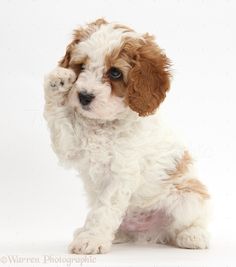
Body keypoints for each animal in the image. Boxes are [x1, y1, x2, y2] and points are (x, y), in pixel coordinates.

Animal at [44, 18, 210, 255]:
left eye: (115, 73)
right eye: (81, 66)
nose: (84, 96)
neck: (103, 124)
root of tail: (148, 233)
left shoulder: (121, 173)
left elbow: (104, 210)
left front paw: (91, 239)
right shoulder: (69, 145)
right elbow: (56, 114)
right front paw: (58, 80)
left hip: (189, 195)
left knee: (190, 222)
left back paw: (193, 236)